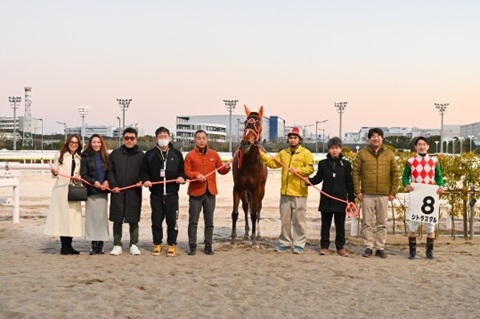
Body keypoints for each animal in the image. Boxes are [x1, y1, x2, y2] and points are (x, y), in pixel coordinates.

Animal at [232, 106, 268, 246]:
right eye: (246, 122)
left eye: (258, 123)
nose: (245, 143)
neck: (249, 163)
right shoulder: (238, 188)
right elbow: (235, 213)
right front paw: (233, 238)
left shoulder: (257, 189)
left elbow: (254, 213)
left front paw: (254, 239)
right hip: (245, 192)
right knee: (246, 206)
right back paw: (247, 233)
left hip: (260, 191)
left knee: (258, 208)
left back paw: (258, 233)